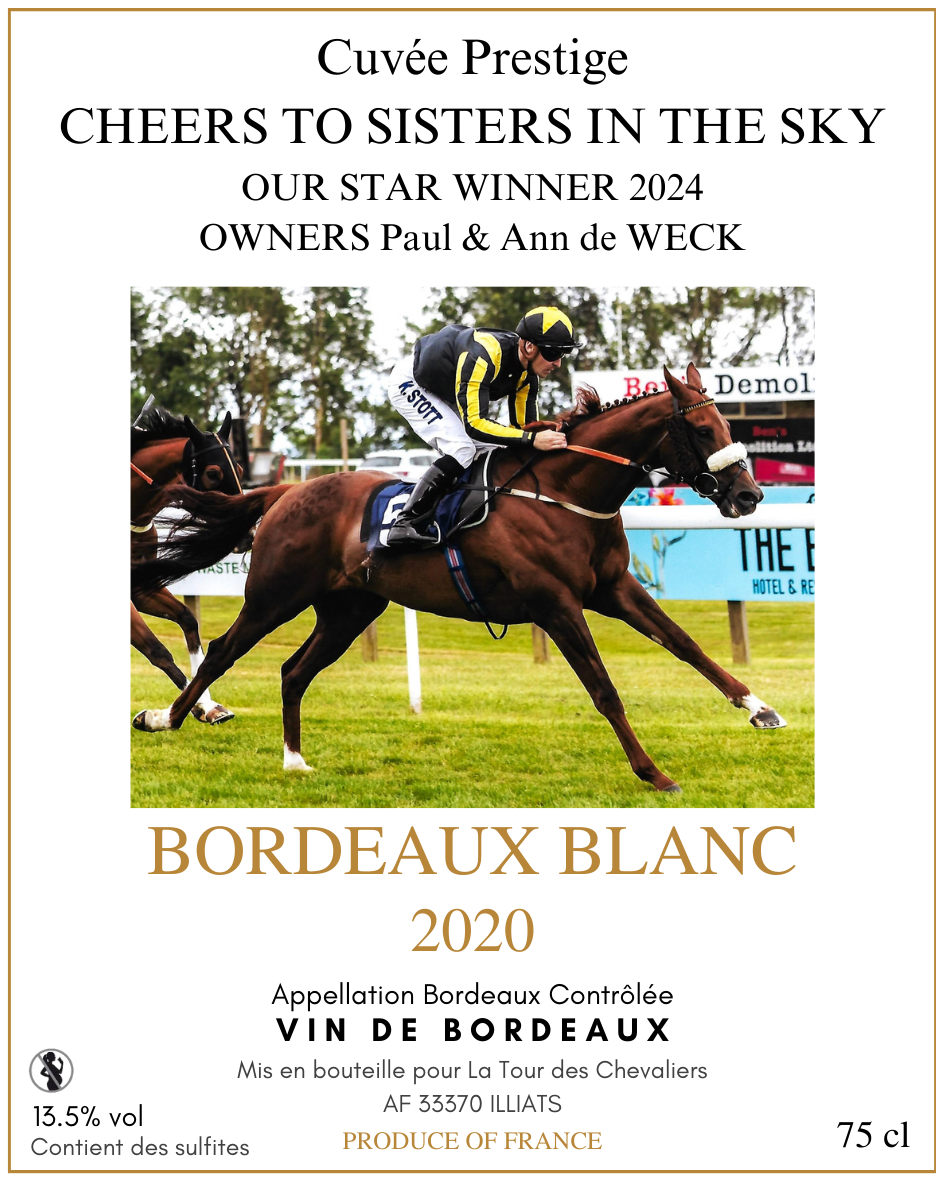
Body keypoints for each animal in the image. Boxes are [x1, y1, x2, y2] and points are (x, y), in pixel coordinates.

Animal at [131, 405, 244, 724]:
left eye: (241, 470)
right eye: (212, 473)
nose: (247, 532)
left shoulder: (140, 587)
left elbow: (188, 619)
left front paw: (208, 705)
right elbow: (157, 650)